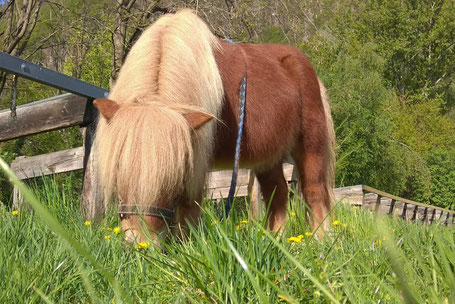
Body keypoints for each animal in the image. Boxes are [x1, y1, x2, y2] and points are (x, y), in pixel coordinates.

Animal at [92, 8, 336, 243]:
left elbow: (188, 210)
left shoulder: (197, 166)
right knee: (277, 193)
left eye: (171, 182)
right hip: (268, 159)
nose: (141, 243)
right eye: (118, 173)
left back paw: (320, 243)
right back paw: (276, 242)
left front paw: (186, 247)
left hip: (310, 146)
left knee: (314, 191)